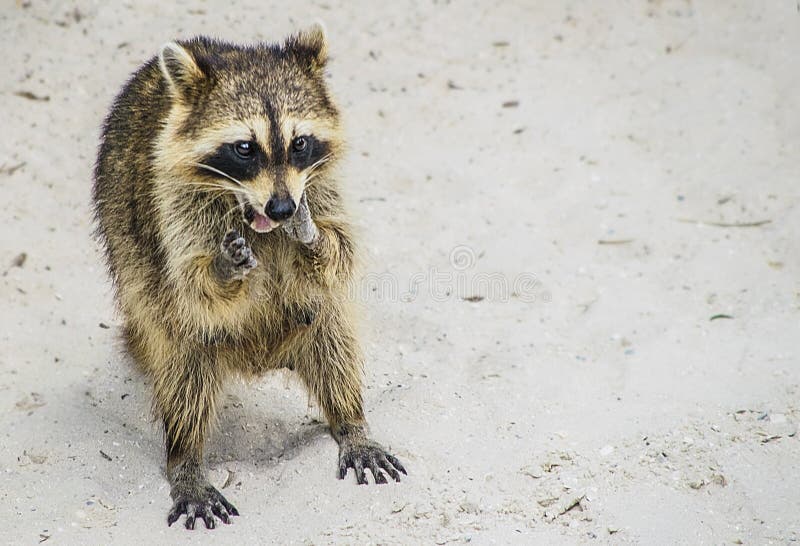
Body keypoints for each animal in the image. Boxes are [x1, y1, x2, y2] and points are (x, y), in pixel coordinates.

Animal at [93, 25, 406, 528]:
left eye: (300, 143)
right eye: (244, 148)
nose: (282, 208)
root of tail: (261, 356)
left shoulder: (321, 187)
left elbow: (342, 254)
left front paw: (312, 237)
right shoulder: (171, 206)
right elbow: (192, 286)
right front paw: (221, 269)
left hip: (310, 322)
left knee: (332, 333)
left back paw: (350, 420)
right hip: (141, 282)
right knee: (185, 364)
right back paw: (185, 457)